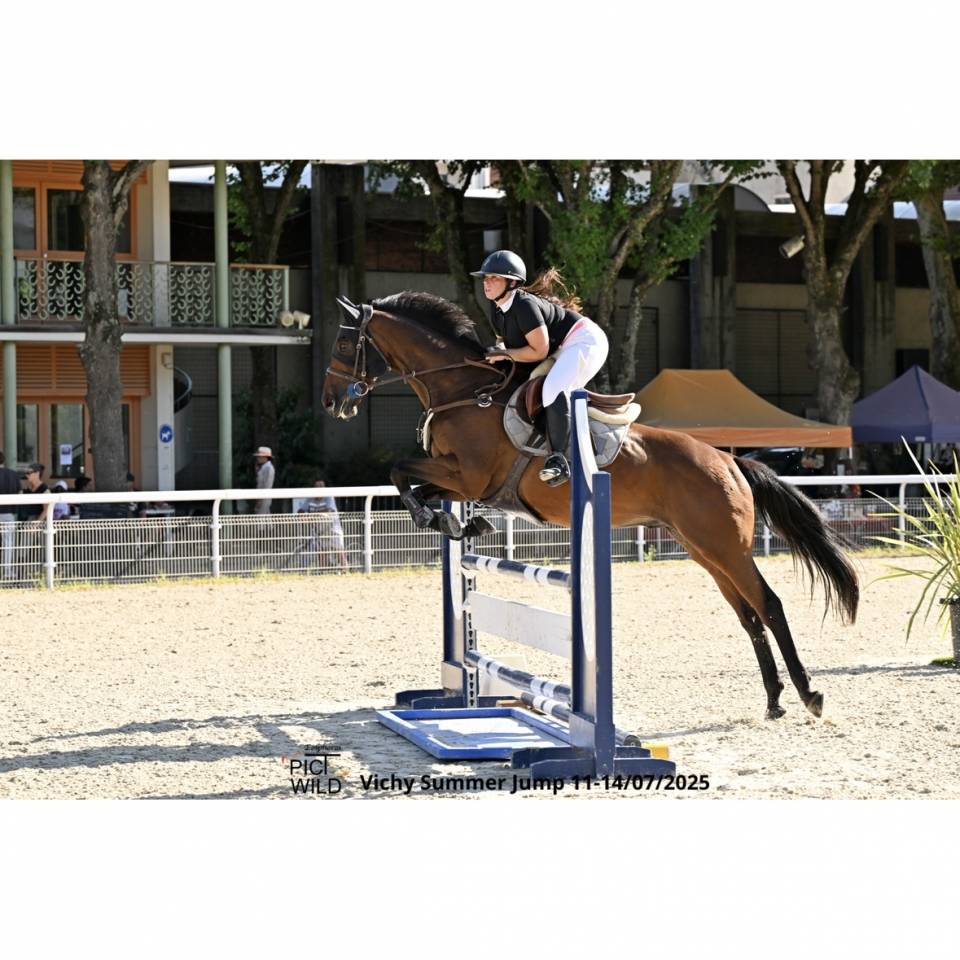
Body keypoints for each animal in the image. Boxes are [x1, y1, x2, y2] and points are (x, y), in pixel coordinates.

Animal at [321, 291, 859, 721]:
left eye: (345, 345)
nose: (331, 403)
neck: (464, 393)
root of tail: (729, 460)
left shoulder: (465, 475)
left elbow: (399, 472)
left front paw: (444, 522)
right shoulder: (457, 480)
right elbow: (407, 483)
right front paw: (461, 527)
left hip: (726, 546)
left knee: (768, 605)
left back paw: (809, 695)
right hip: (704, 549)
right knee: (748, 615)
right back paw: (773, 700)